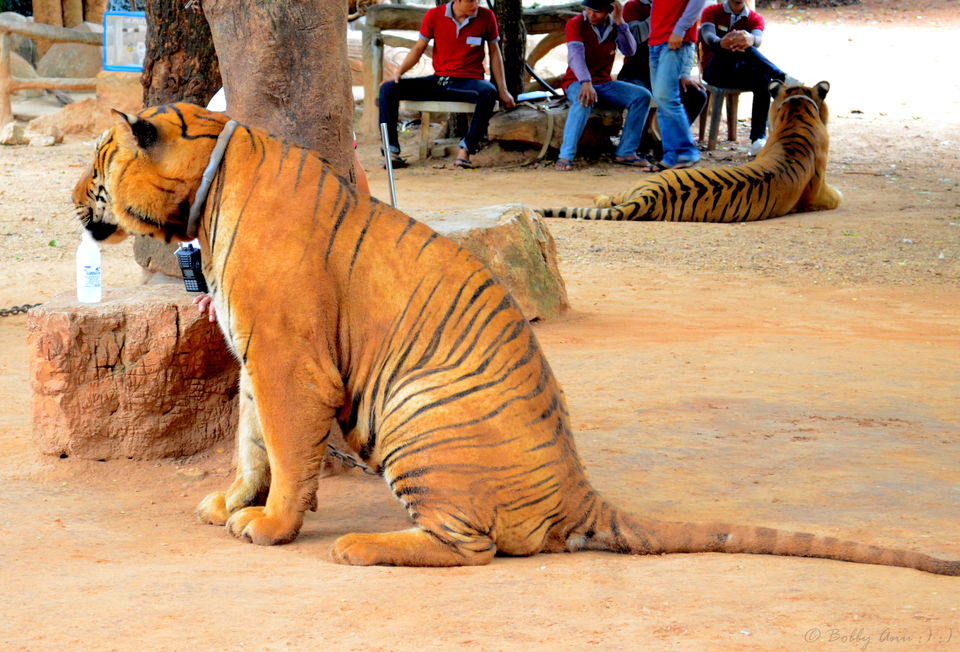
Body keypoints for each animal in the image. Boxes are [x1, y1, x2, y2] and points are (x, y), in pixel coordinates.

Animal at [71, 103, 956, 576]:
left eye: (100, 160)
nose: (75, 193)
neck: (206, 192)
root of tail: (580, 493)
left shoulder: (290, 361)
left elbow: (285, 453)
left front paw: (270, 525)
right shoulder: (256, 360)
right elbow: (251, 445)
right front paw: (231, 502)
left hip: (418, 413)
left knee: (469, 548)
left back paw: (358, 543)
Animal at [536, 80, 844, 223]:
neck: (797, 115)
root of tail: (650, 195)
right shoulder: (819, 192)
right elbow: (838, 196)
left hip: (636, 187)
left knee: (609, 200)